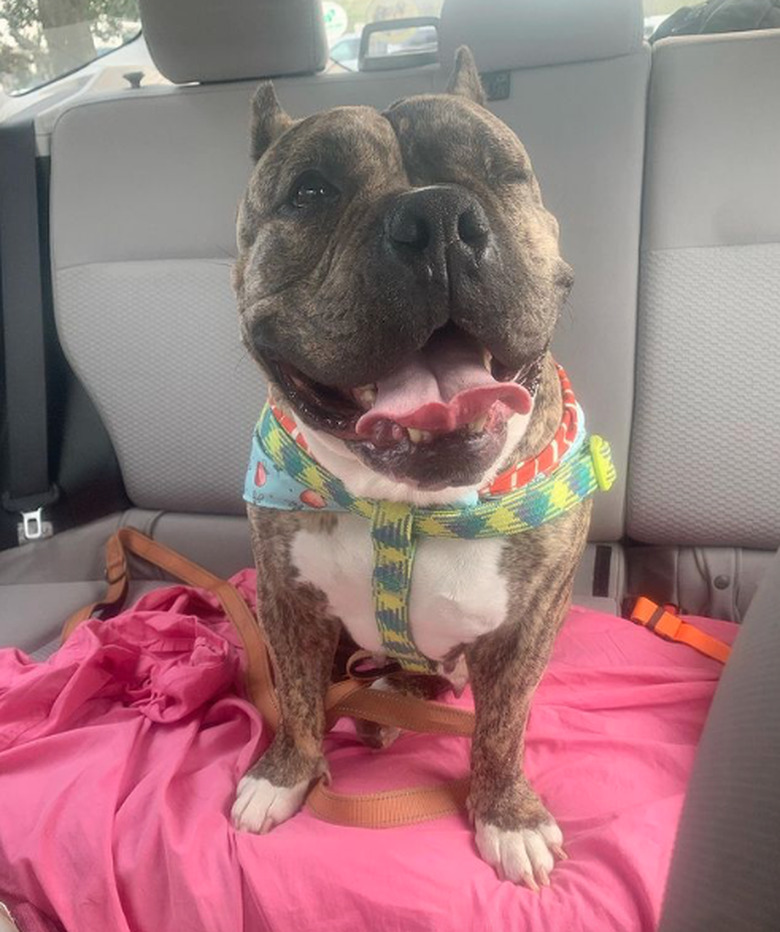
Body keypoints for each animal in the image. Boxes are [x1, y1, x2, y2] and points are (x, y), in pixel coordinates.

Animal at [232, 45, 592, 888]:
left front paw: (507, 814)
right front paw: (284, 774)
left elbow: (503, 726)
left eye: (500, 170)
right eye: (311, 191)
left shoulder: (530, 623)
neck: (400, 504)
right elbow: (297, 698)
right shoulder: (286, 600)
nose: (436, 219)